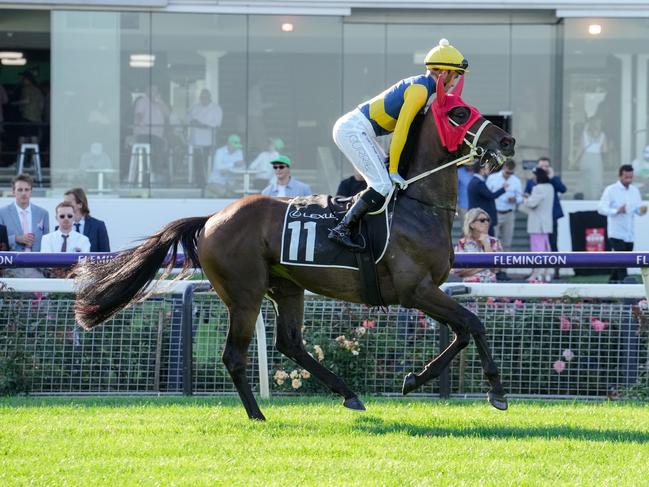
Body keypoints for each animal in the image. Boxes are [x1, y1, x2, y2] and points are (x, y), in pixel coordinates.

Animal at [73, 83, 512, 420]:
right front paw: (496, 391)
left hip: (287, 287)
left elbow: (462, 332)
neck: (417, 205)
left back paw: (348, 393)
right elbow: (474, 324)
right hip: (245, 294)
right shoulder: (415, 289)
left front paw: (415, 378)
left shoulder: (426, 291)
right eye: (459, 112)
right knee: (235, 356)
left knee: (290, 343)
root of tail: (212, 217)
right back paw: (258, 415)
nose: (507, 140)